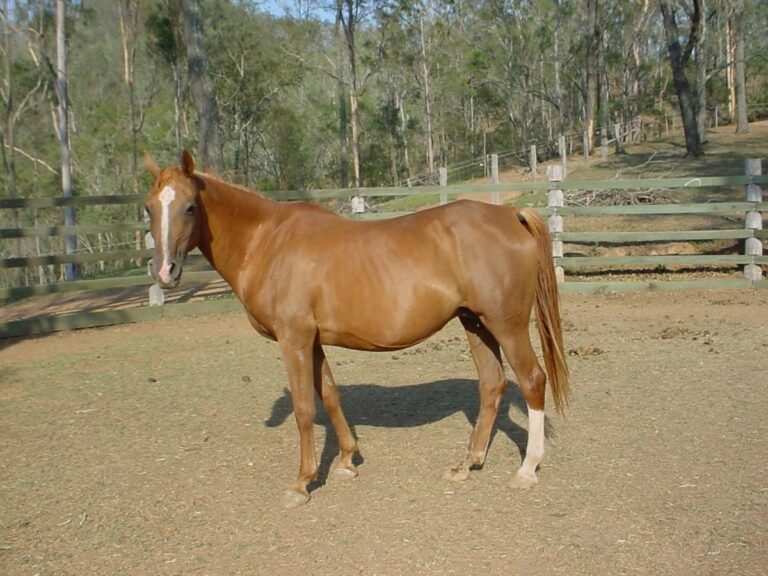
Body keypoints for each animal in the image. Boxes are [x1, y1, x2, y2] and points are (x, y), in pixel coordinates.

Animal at [143, 150, 570, 508]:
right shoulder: (313, 341)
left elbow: (304, 408)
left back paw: (527, 470)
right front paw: (347, 460)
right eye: (149, 208)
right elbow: (330, 395)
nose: (166, 272)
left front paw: (302, 482)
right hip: (475, 323)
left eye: (190, 206)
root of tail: (510, 215)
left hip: (506, 325)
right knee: (492, 385)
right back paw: (468, 463)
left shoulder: (294, 339)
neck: (268, 241)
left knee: (532, 380)